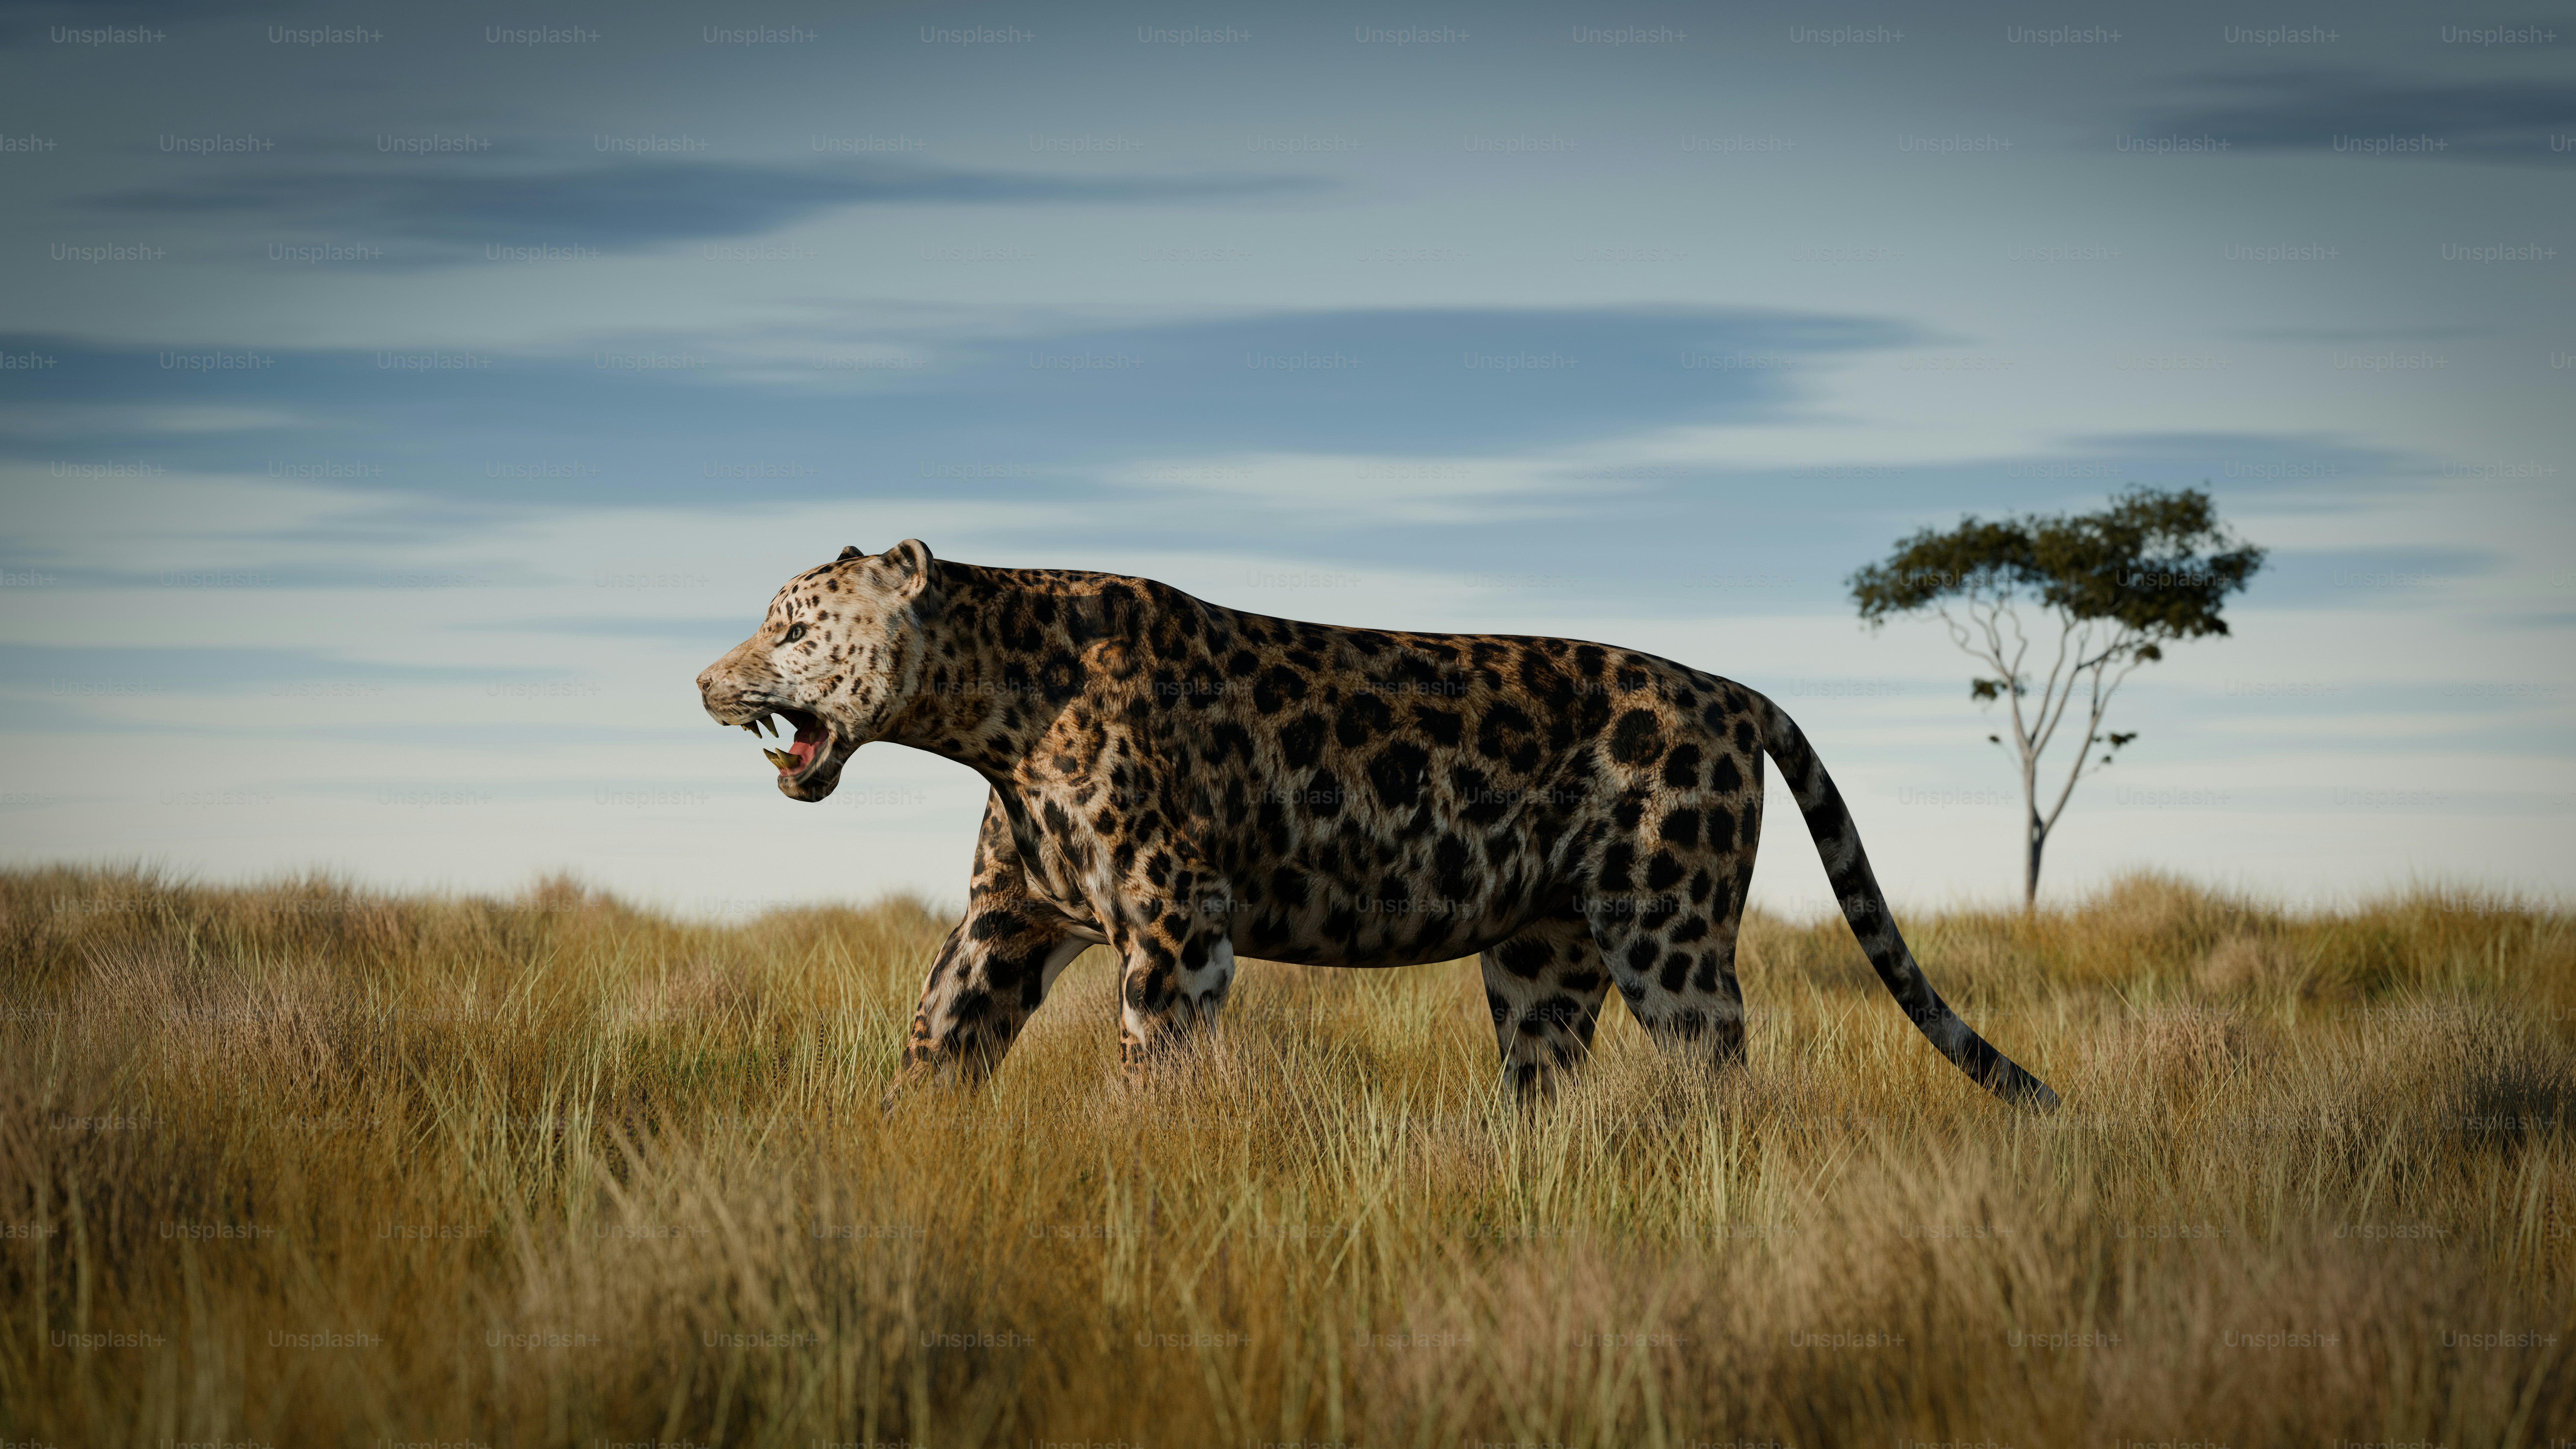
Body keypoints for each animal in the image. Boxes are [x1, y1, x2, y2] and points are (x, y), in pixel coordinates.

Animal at [695, 540, 2057, 1110]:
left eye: (791, 627)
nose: (708, 680)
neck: (991, 710)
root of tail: (1733, 690)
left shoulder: (1177, 925)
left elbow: (1149, 1063)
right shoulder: (1008, 921)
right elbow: (933, 1044)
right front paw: (895, 1154)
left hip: (1667, 932)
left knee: (1717, 1066)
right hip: (1541, 959)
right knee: (1545, 1077)